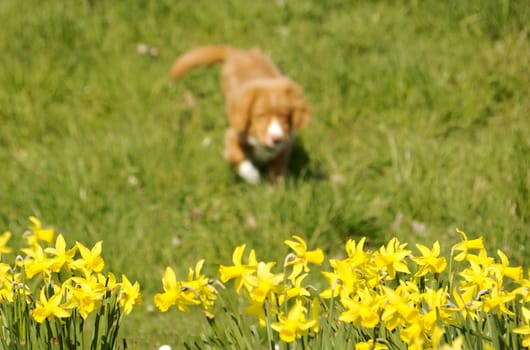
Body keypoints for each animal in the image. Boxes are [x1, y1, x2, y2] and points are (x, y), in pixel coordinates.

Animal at [169, 45, 310, 185]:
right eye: (260, 116)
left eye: (284, 116)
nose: (276, 139)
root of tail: (237, 52)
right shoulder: (232, 137)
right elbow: (237, 157)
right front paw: (253, 177)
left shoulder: (286, 144)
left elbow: (277, 169)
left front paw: (272, 189)